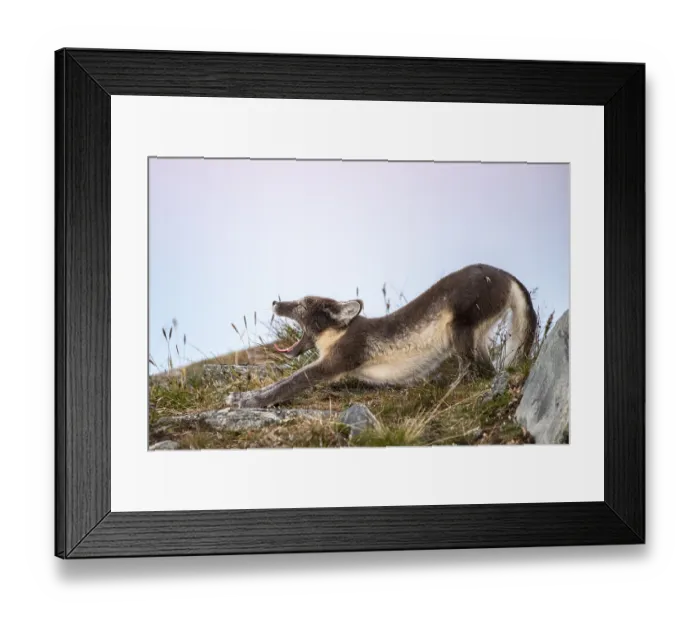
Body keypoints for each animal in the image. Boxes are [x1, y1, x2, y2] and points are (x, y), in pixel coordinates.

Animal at [225, 263, 537, 409]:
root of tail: (506, 275)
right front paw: (243, 395)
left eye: (303, 303)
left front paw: (247, 402)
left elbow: (289, 382)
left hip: (461, 328)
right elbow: (281, 382)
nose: (275, 302)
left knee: (483, 371)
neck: (339, 334)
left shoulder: (335, 362)